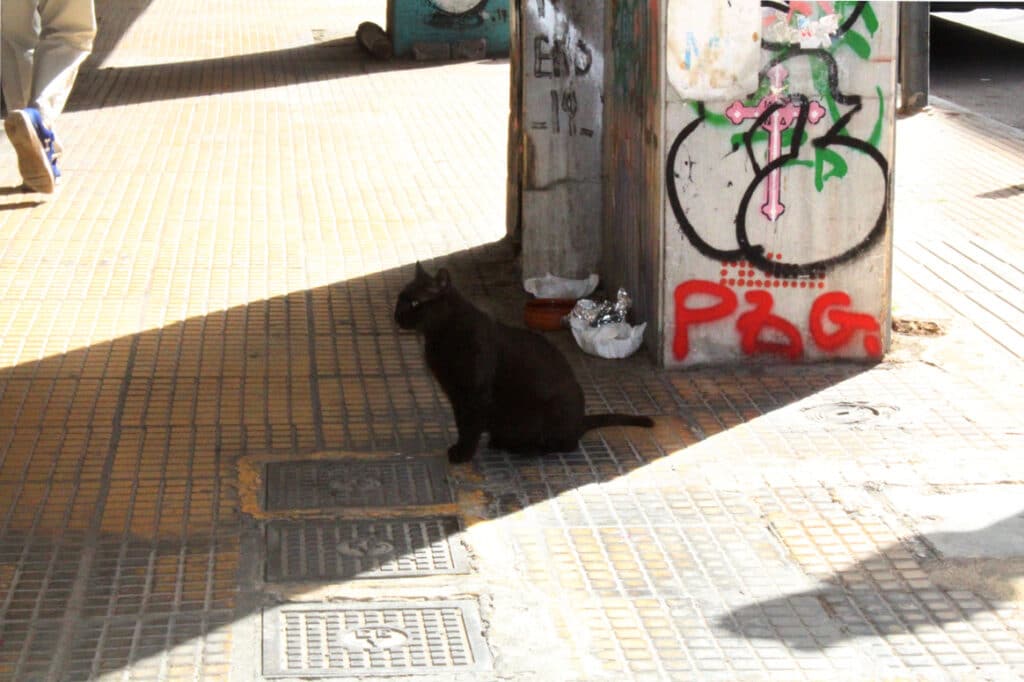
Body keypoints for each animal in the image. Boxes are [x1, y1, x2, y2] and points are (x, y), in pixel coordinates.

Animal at [393, 261, 655, 462]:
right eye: (399, 299)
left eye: (415, 303)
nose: (396, 315)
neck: (440, 336)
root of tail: (580, 420)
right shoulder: (455, 395)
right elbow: (461, 423)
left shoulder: (474, 394)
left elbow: (469, 426)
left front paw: (463, 454)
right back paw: (502, 442)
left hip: (554, 410)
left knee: (566, 444)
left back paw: (529, 448)